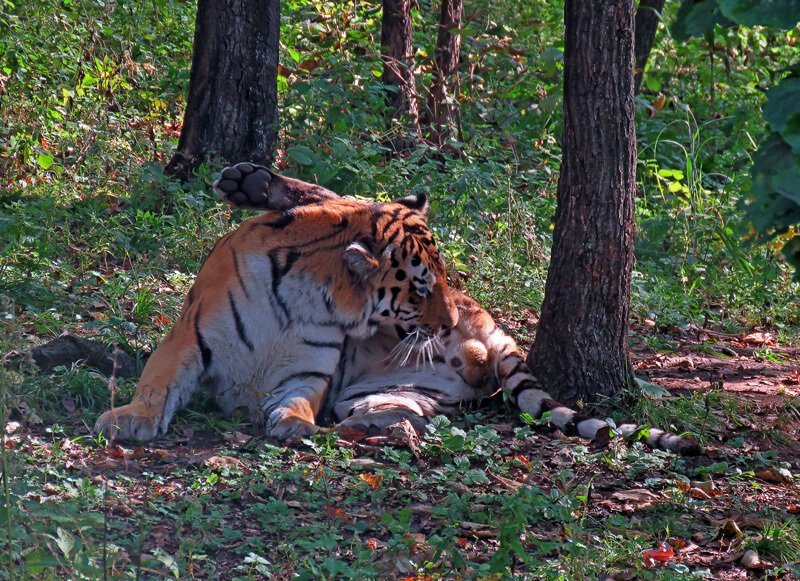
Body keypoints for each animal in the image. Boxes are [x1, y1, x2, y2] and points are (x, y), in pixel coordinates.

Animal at [94, 168, 456, 440]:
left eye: (444, 277)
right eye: (421, 290)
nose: (450, 325)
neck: (309, 297)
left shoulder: (305, 371)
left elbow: (298, 401)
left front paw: (297, 424)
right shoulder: (188, 338)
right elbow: (157, 382)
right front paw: (133, 418)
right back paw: (251, 182)